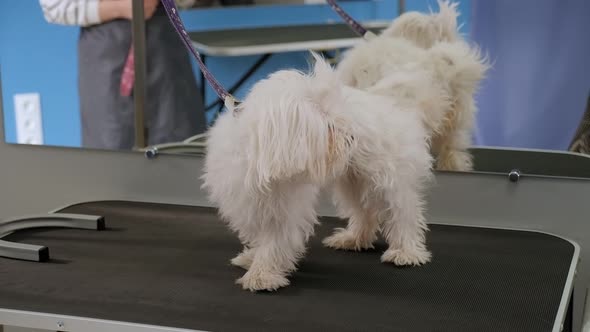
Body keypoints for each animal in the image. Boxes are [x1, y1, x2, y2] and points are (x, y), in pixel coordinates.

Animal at [204, 50, 468, 292]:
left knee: (404, 213)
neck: (262, 161)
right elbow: (258, 235)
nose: (351, 137)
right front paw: (252, 258)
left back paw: (406, 251)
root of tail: (395, 105)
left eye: (339, 117)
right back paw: (354, 239)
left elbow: (274, 241)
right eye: (328, 123)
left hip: (389, 180)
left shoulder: (286, 208)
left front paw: (262, 275)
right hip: (354, 180)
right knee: (365, 212)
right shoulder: (247, 203)